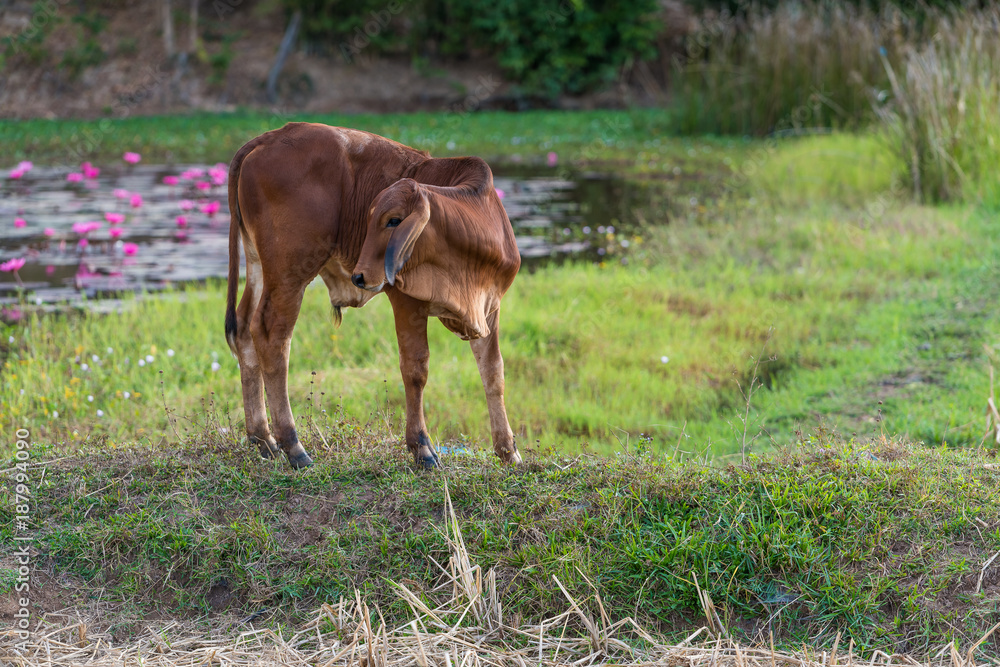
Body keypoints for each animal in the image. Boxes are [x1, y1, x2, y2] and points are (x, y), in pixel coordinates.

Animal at [226, 124, 524, 470]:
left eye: (393, 220)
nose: (359, 275)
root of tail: (270, 136)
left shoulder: (489, 308)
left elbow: (493, 371)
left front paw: (508, 450)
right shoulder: (407, 302)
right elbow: (416, 369)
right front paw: (421, 447)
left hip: (259, 265)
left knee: (244, 328)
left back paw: (263, 438)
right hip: (290, 272)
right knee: (272, 336)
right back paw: (293, 445)